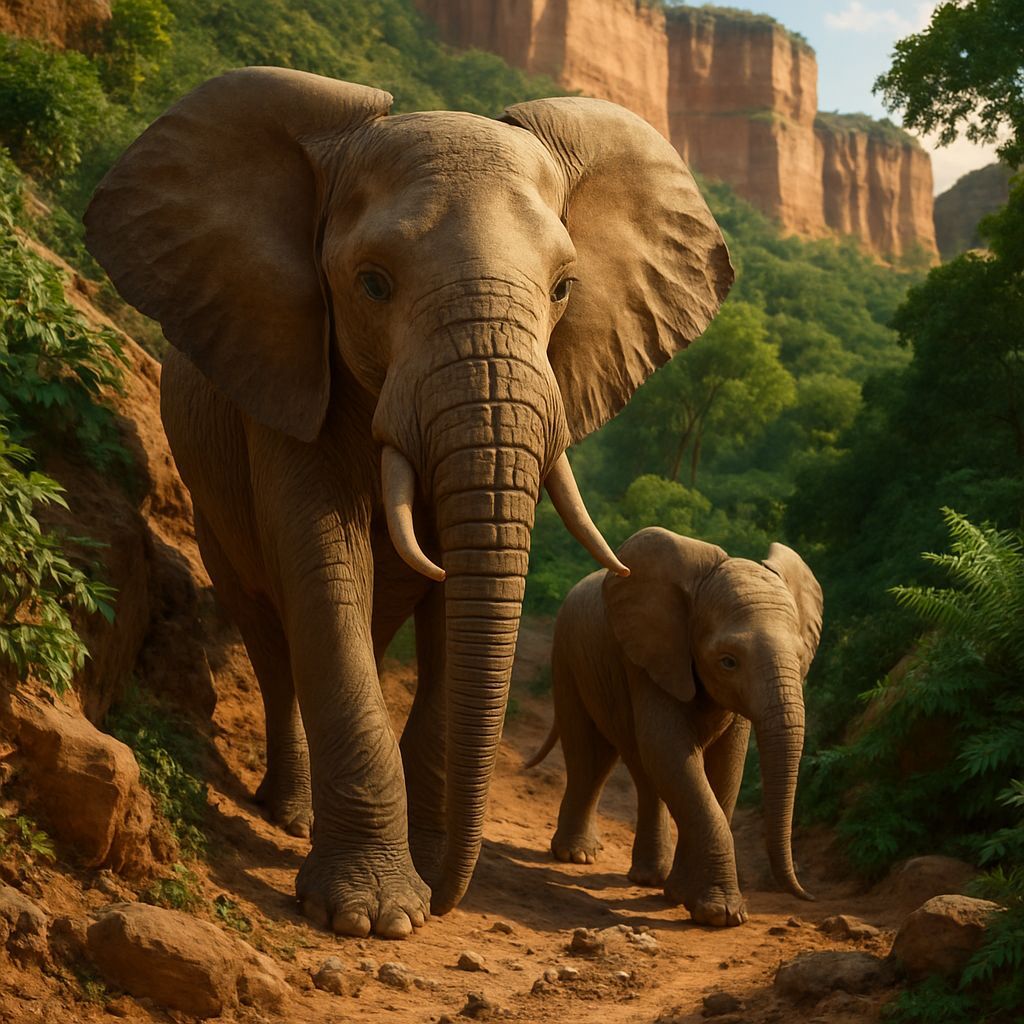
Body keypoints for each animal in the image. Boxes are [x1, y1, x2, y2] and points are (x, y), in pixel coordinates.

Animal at [83, 67, 733, 939]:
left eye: (564, 289)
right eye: (373, 284)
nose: (453, 895)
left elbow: (457, 607)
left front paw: (420, 877)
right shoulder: (287, 370)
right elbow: (326, 570)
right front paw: (373, 915)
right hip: (209, 501)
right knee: (270, 634)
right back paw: (287, 814)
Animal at [527, 527, 823, 927]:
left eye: (801, 655)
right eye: (728, 661)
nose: (807, 895)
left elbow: (725, 767)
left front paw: (686, 898)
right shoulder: (652, 656)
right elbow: (670, 751)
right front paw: (720, 914)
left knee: (634, 767)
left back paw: (650, 878)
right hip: (568, 655)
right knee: (590, 756)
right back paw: (578, 856)